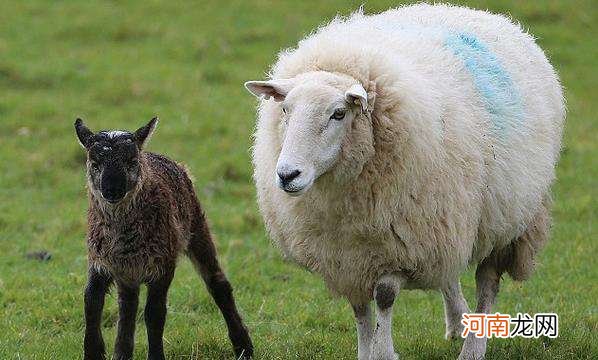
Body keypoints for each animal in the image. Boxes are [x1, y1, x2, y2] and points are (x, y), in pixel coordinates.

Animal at [246, 3, 564, 360]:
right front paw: (366, 350)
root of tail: (478, 13)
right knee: (449, 274)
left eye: (339, 113)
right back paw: (458, 322)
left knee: (487, 281)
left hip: (506, 219)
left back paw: (473, 347)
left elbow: (384, 296)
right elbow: (359, 308)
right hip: (448, 219)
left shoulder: (399, 244)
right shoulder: (348, 255)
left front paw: (383, 351)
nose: (287, 174)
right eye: (285, 110)